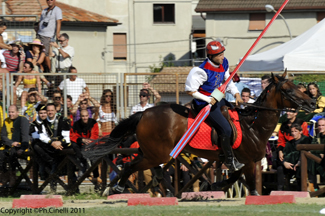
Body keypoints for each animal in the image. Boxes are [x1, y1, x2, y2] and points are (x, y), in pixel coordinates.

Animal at [86, 71, 314, 196]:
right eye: (289, 90)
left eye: (297, 86)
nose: (312, 103)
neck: (253, 125)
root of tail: (143, 113)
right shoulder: (248, 161)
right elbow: (250, 185)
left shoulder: (245, 161)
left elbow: (235, 175)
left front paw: (217, 183)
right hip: (156, 154)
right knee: (131, 166)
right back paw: (117, 188)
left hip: (150, 153)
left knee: (151, 170)